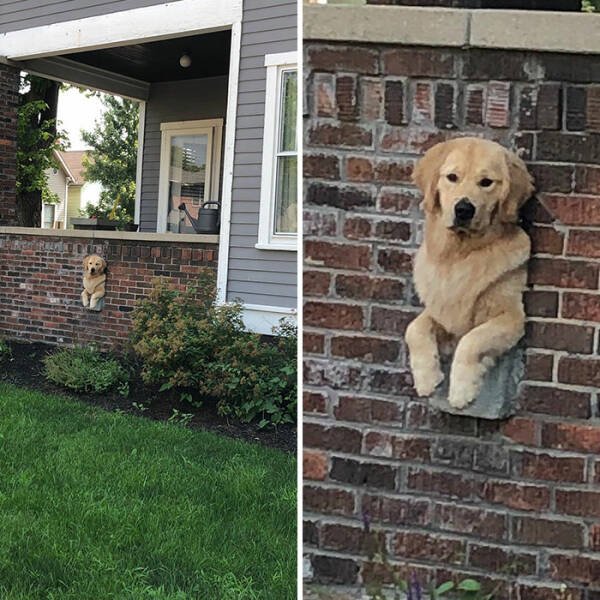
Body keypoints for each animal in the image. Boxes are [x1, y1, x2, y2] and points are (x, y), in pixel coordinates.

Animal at [406, 137, 532, 408]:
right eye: (452, 177)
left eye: (486, 182)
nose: (464, 209)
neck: (459, 254)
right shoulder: (441, 309)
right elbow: (414, 329)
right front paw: (426, 378)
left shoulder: (512, 316)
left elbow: (471, 341)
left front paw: (462, 390)